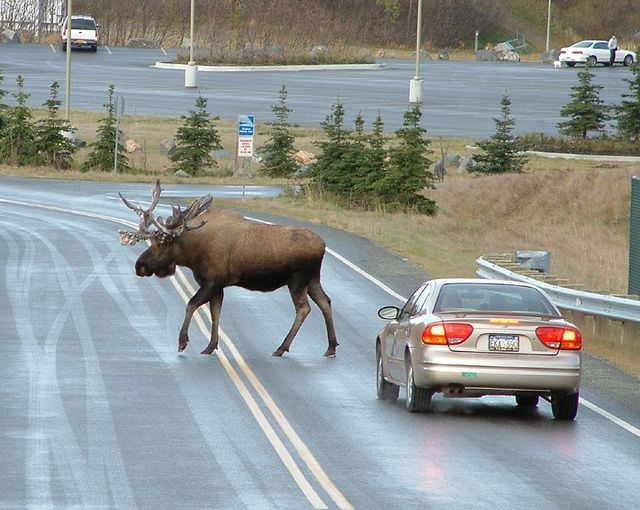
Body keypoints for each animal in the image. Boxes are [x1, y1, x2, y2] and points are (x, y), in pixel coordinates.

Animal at [120, 181, 340, 356]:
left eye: (162, 243)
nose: (140, 265)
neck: (191, 253)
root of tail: (323, 245)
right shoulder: (218, 286)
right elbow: (215, 313)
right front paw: (210, 346)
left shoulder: (211, 282)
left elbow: (191, 304)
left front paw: (183, 341)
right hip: (313, 279)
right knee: (325, 302)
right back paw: (331, 347)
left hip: (297, 280)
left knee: (304, 308)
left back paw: (281, 348)